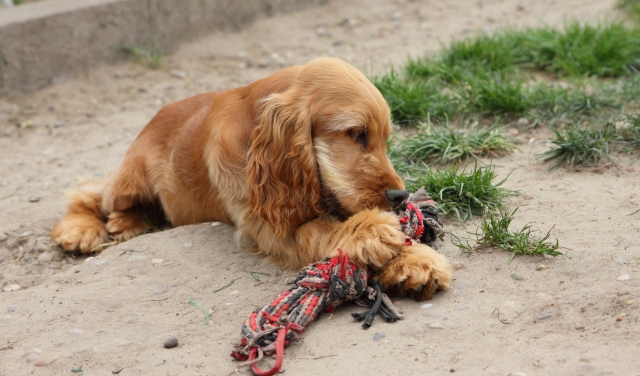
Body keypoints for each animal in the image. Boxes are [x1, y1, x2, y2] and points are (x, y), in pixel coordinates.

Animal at [52, 56, 452, 300]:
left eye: (385, 139)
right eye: (356, 134)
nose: (401, 197)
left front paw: (414, 261)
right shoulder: (269, 226)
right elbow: (321, 230)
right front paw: (373, 231)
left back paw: (129, 222)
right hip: (131, 179)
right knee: (89, 192)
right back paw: (82, 230)